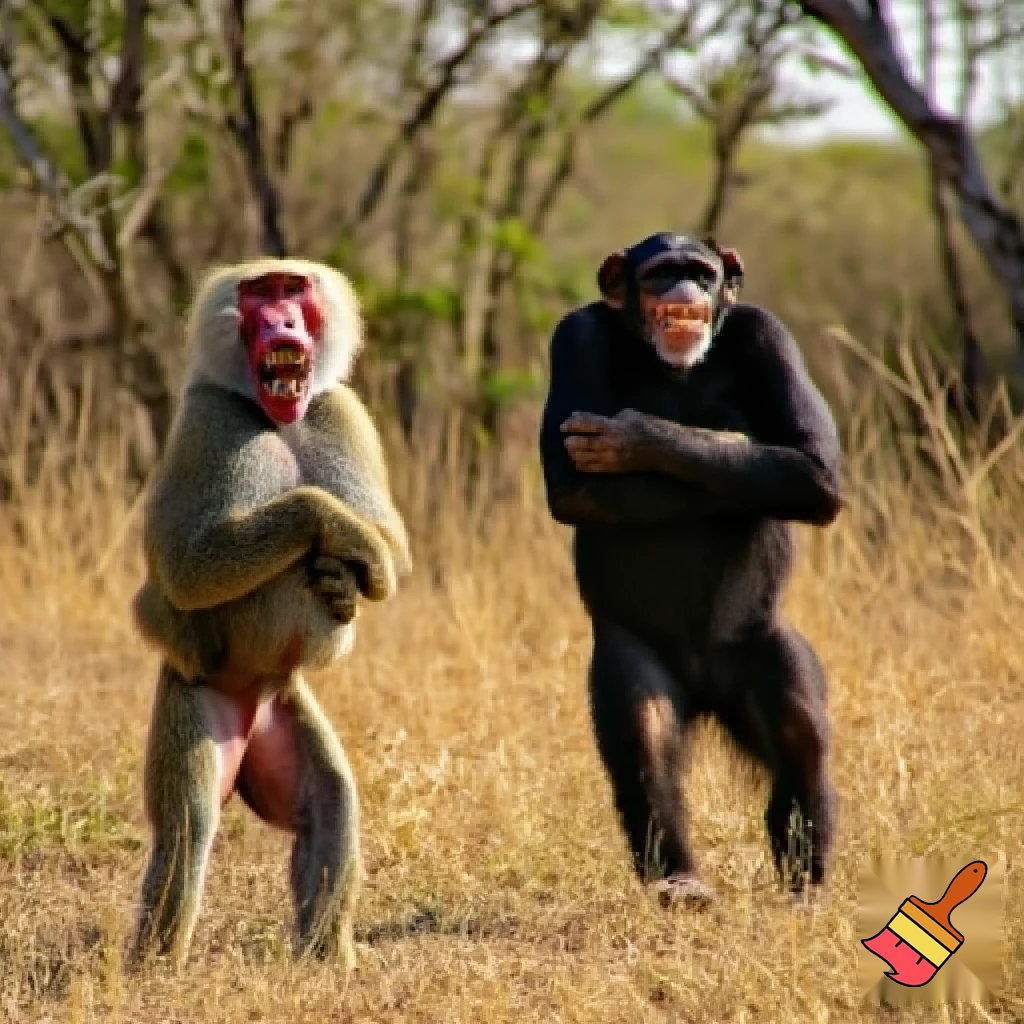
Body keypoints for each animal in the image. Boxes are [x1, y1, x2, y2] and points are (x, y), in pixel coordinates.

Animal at [128, 259, 411, 974]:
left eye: (294, 289)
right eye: (259, 292)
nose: (283, 321)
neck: (278, 417)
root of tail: (251, 693)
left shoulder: (343, 410)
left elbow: (393, 548)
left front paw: (351, 577)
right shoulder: (206, 422)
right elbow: (186, 568)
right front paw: (337, 531)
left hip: (286, 706)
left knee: (330, 808)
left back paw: (326, 963)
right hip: (196, 700)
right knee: (186, 832)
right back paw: (154, 972)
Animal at [539, 232, 842, 908]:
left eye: (701, 272)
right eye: (660, 273)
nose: (686, 288)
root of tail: (706, 689)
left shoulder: (767, 333)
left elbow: (811, 467)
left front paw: (643, 435)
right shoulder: (573, 335)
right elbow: (572, 485)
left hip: (761, 648)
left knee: (798, 730)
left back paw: (805, 886)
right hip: (635, 658)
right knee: (644, 738)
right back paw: (681, 880)